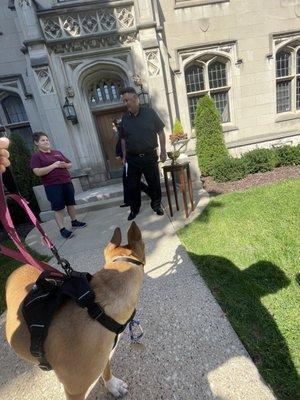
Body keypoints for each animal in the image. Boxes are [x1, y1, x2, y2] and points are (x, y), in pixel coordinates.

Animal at [4, 223, 145, 398]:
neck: (97, 307)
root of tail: (18, 267)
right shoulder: (75, 391)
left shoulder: (103, 354)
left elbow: (105, 368)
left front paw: (112, 385)